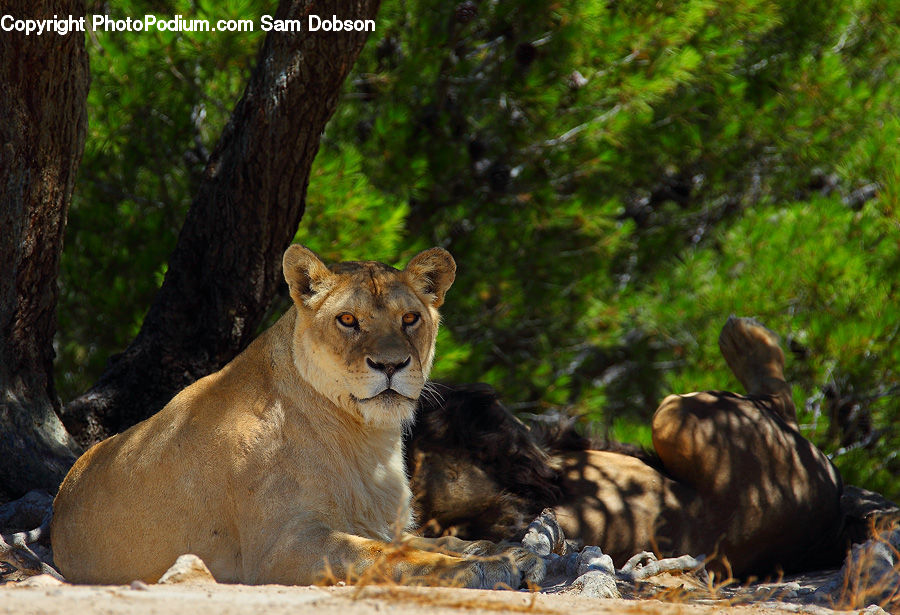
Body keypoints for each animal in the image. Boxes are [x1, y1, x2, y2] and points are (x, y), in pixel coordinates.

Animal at [51, 245, 544, 588]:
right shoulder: (284, 546)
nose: (390, 365)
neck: (366, 439)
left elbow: (423, 541)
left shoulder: (379, 524)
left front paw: (492, 549)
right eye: (348, 320)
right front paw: (488, 566)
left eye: (410, 319)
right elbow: (386, 556)